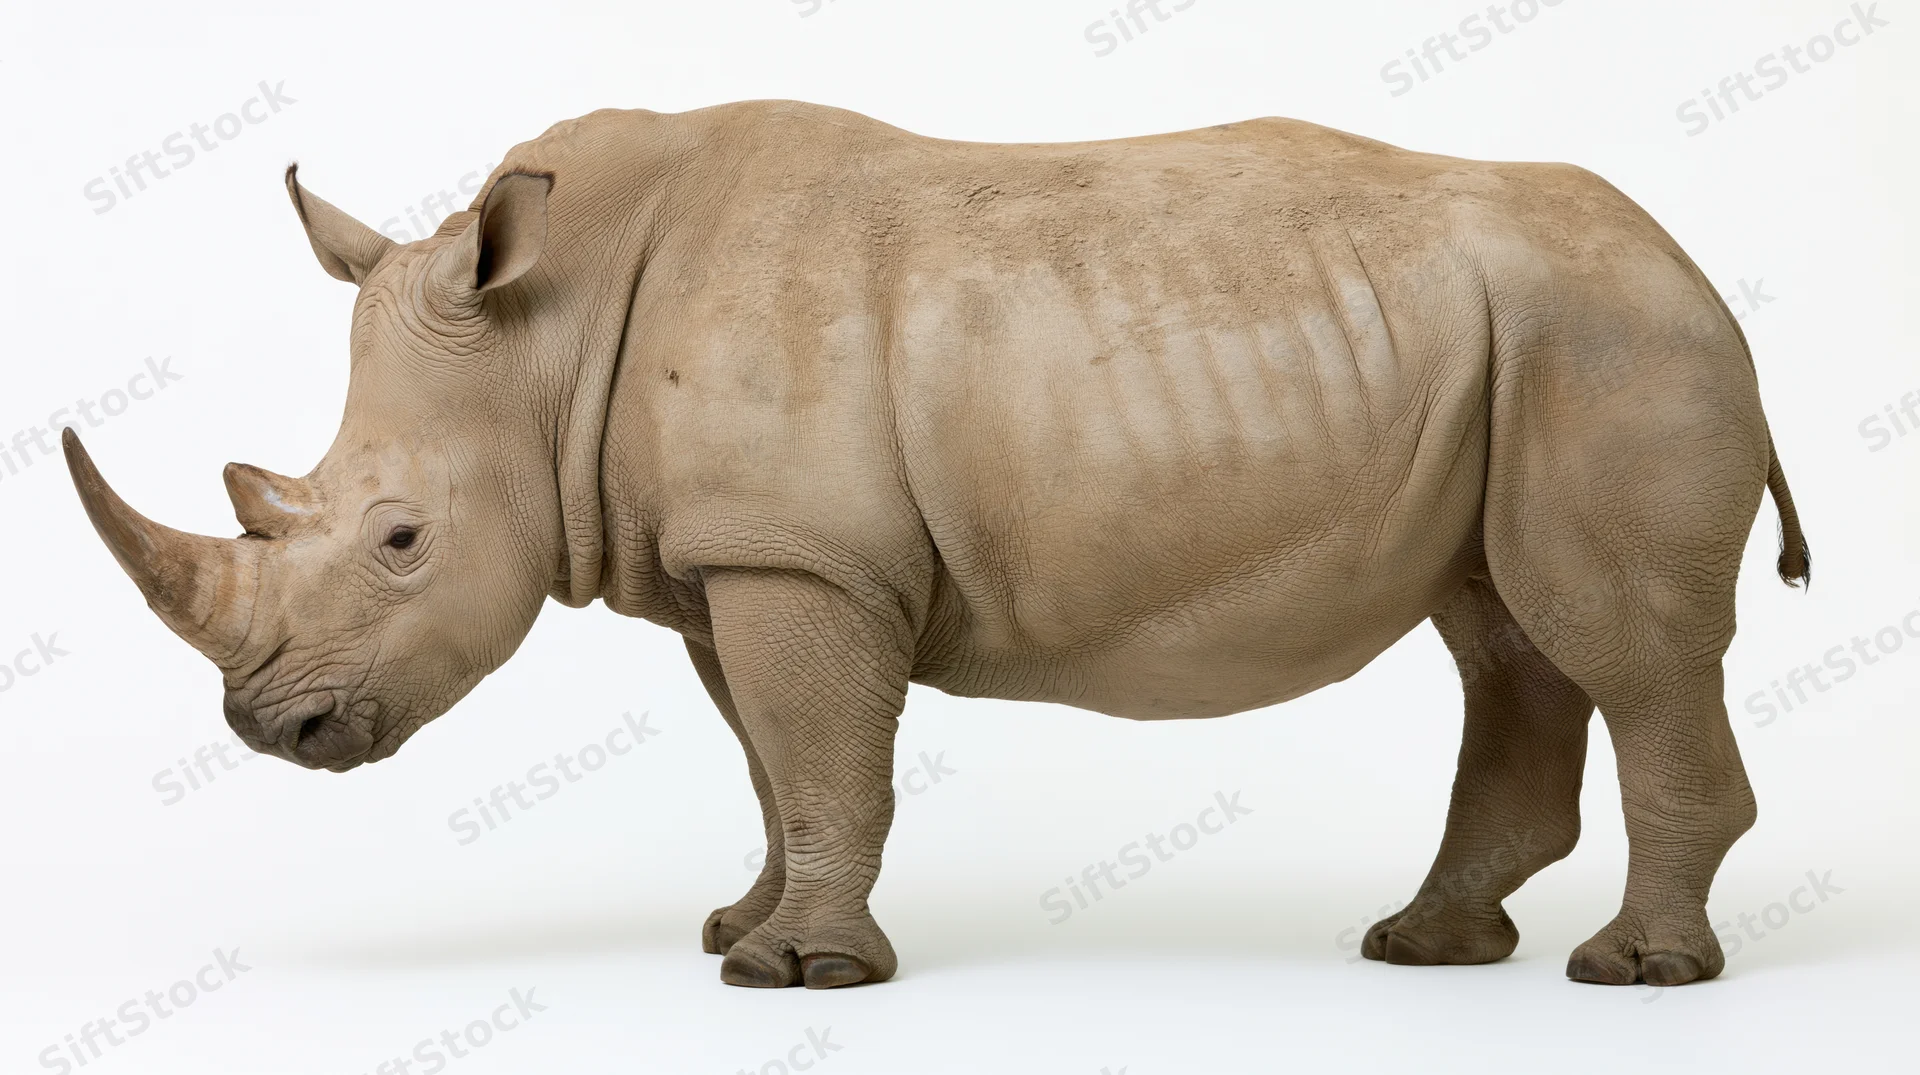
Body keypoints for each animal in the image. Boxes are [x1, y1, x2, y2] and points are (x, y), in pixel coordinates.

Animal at [65, 101, 1808, 991]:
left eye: (404, 536)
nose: (270, 727)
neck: (545, 338)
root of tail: (1701, 270)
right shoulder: (737, 561)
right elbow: (773, 762)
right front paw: (740, 926)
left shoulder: (802, 559)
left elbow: (826, 754)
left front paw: (799, 973)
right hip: (1538, 344)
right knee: (1506, 630)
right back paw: (1428, 946)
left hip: (1615, 338)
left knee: (1621, 643)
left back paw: (1632, 971)